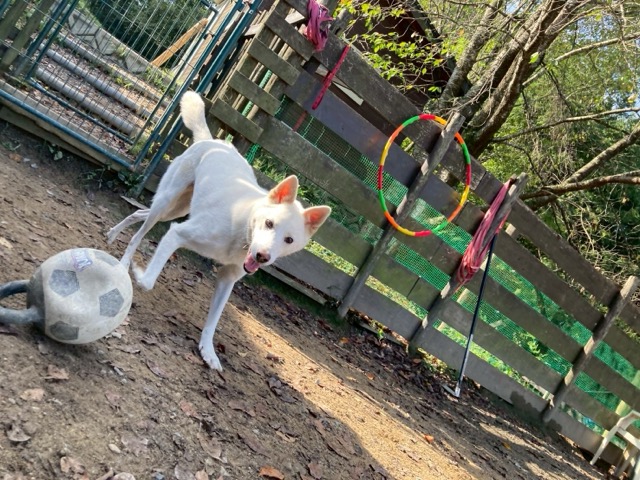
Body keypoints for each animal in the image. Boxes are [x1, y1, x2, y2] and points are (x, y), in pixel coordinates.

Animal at [107, 91, 331, 370]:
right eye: (269, 223)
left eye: (288, 239)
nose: (262, 257)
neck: (243, 229)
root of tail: (211, 140)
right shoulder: (177, 233)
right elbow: (148, 281)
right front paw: (139, 272)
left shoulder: (228, 278)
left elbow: (213, 321)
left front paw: (208, 351)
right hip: (167, 204)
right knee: (139, 234)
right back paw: (123, 263)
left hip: (175, 209)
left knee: (139, 213)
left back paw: (113, 234)